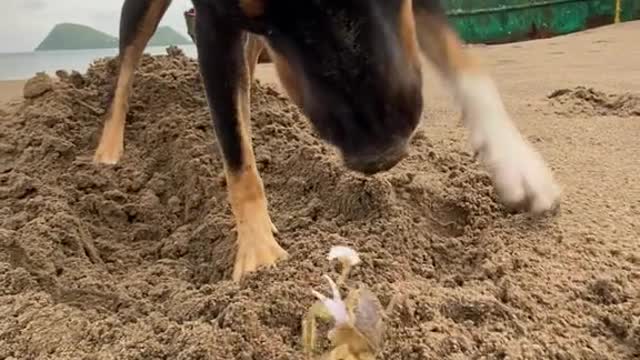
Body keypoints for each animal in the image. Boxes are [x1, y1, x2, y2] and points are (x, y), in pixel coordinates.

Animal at [94, 0, 560, 282]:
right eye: (261, 16)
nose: (379, 151)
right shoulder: (217, 21)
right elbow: (235, 153)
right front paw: (260, 254)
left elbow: (461, 58)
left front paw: (516, 163)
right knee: (126, 64)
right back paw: (107, 153)